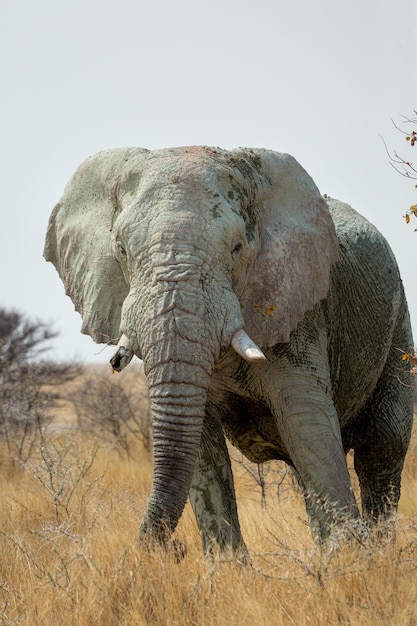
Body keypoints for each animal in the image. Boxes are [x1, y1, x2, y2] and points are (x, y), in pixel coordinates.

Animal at [44, 146, 414, 556]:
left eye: (237, 247)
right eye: (121, 250)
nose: (173, 550)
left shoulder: (297, 306)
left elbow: (307, 424)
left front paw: (350, 561)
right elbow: (204, 453)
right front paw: (228, 567)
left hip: (397, 324)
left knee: (381, 447)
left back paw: (380, 551)